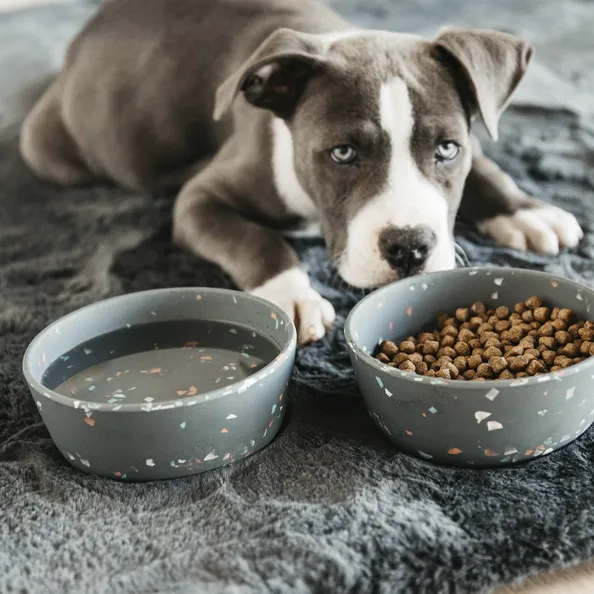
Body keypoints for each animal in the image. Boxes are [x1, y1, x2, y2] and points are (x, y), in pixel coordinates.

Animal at [18, 0, 580, 342]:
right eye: (343, 154)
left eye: (447, 149)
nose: (409, 248)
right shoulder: (199, 199)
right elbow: (256, 239)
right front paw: (291, 294)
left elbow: (487, 167)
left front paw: (527, 211)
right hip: (53, 148)